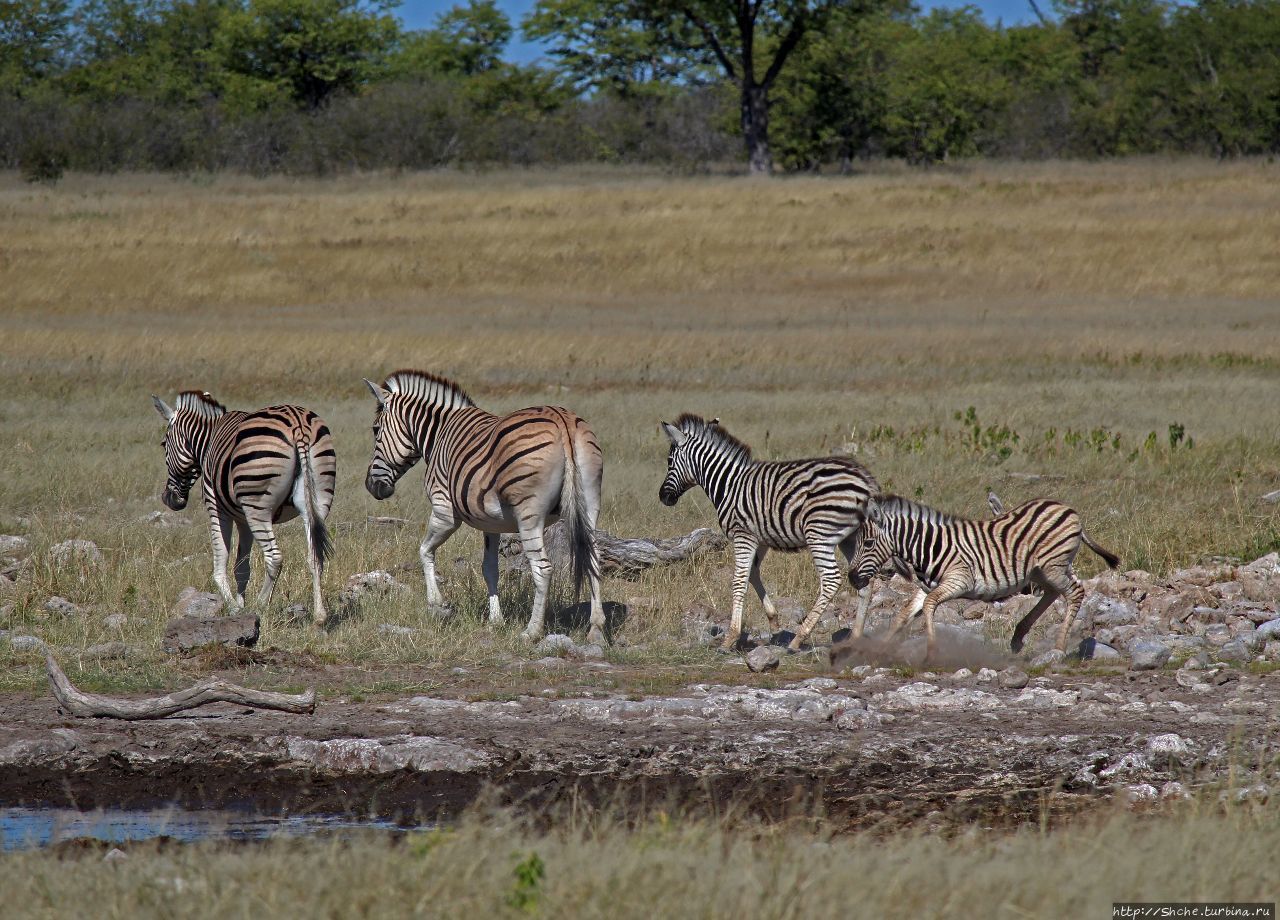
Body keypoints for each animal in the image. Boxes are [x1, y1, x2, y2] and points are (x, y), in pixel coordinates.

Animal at [151, 391, 335, 621]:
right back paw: (319, 615)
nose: (169, 499)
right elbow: (242, 567)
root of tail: (298, 424)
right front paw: (240, 604)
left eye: (163, 444)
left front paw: (234, 608)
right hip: (317, 501)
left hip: (257, 506)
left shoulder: (217, 508)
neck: (208, 441)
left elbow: (221, 563)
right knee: (315, 555)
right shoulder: (242, 518)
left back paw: (261, 606)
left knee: (274, 558)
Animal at [363, 371, 606, 644]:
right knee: (593, 559)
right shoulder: (491, 523)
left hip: (529, 514)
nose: (371, 487)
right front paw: (495, 620)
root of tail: (562, 420)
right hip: (590, 502)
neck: (438, 433)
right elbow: (489, 569)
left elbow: (424, 550)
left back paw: (532, 631)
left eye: (375, 430)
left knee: (543, 568)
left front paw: (437, 604)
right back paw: (596, 628)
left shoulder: (444, 510)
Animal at [660, 414, 880, 652]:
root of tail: (865, 481)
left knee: (830, 580)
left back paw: (799, 639)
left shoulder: (743, 534)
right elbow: (752, 574)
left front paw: (730, 638)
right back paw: (855, 637)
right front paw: (774, 623)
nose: (663, 497)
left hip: (819, 533)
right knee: (865, 581)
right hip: (851, 538)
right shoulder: (761, 538)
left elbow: (739, 580)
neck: (728, 484)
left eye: (669, 461)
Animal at [849, 496, 1121, 660]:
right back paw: (1018, 637)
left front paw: (931, 652)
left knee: (1075, 592)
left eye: (869, 543)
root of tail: (1067, 508)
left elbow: (929, 605)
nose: (851, 578)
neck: (929, 546)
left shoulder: (959, 580)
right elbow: (903, 615)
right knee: (1055, 592)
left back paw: (1058, 648)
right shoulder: (927, 586)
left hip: (1053, 565)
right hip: (1042, 570)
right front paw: (877, 650)